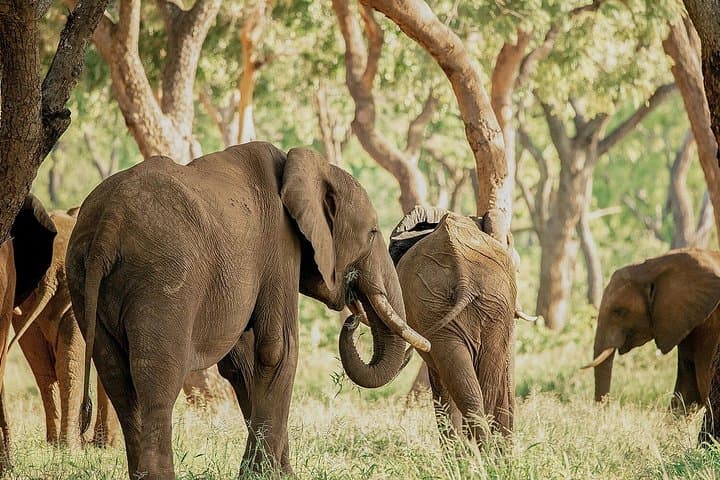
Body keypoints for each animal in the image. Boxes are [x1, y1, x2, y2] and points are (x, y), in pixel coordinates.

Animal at [66, 142, 430, 479]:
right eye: (372, 233)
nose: (353, 317)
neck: (303, 165)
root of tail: (108, 225)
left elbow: (241, 363)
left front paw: (277, 472)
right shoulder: (280, 246)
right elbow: (278, 349)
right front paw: (266, 475)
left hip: (82, 280)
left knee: (118, 381)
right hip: (162, 281)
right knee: (156, 381)